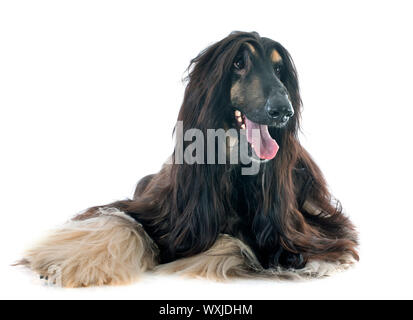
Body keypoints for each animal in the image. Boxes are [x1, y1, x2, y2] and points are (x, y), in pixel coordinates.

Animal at [19, 31, 356, 288]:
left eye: (278, 69)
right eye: (238, 63)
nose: (283, 111)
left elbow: (241, 242)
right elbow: (122, 221)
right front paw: (65, 264)